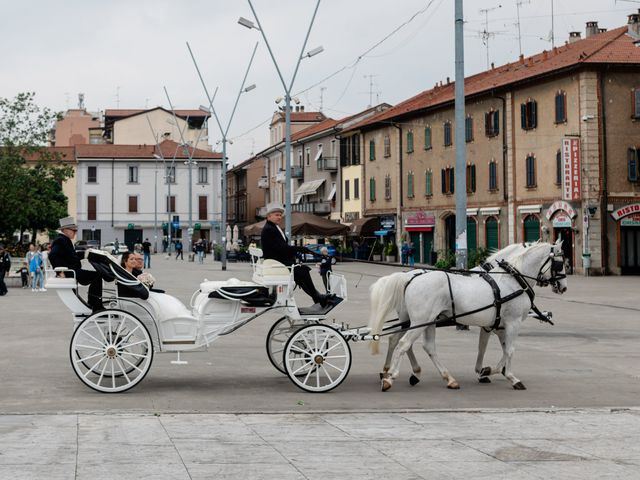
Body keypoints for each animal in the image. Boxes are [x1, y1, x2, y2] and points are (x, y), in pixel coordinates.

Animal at [370, 242, 564, 392]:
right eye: (560, 263)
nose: (563, 287)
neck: (512, 280)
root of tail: (410, 279)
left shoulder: (496, 325)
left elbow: (492, 349)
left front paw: (487, 371)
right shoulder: (512, 323)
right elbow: (509, 350)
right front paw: (510, 376)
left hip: (419, 321)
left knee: (418, 344)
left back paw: (442, 377)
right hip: (420, 320)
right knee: (404, 343)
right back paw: (390, 377)